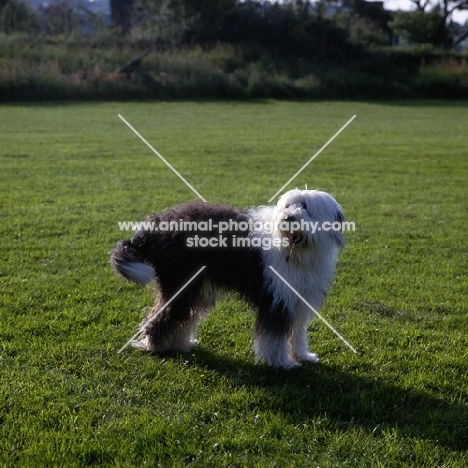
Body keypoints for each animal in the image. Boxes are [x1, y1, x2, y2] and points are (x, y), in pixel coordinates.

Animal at [109, 188, 344, 368]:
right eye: (287, 206)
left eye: (306, 207)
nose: (288, 218)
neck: (296, 253)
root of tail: (152, 227)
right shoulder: (276, 300)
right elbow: (275, 337)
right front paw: (281, 363)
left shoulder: (298, 300)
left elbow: (297, 333)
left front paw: (303, 356)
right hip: (179, 283)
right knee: (165, 314)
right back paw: (155, 345)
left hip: (196, 285)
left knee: (183, 316)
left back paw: (182, 343)